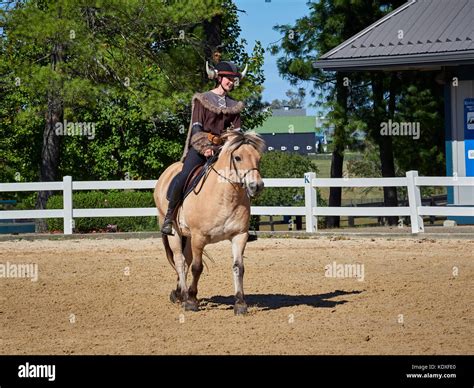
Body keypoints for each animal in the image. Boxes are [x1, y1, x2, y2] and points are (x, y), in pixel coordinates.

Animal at [156, 130, 266, 316]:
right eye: (238, 157)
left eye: (258, 158)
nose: (256, 186)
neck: (225, 196)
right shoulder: (199, 237)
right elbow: (197, 267)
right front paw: (191, 301)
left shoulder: (239, 236)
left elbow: (238, 267)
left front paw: (240, 303)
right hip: (175, 233)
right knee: (180, 260)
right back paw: (184, 295)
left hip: (188, 237)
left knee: (185, 259)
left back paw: (178, 292)